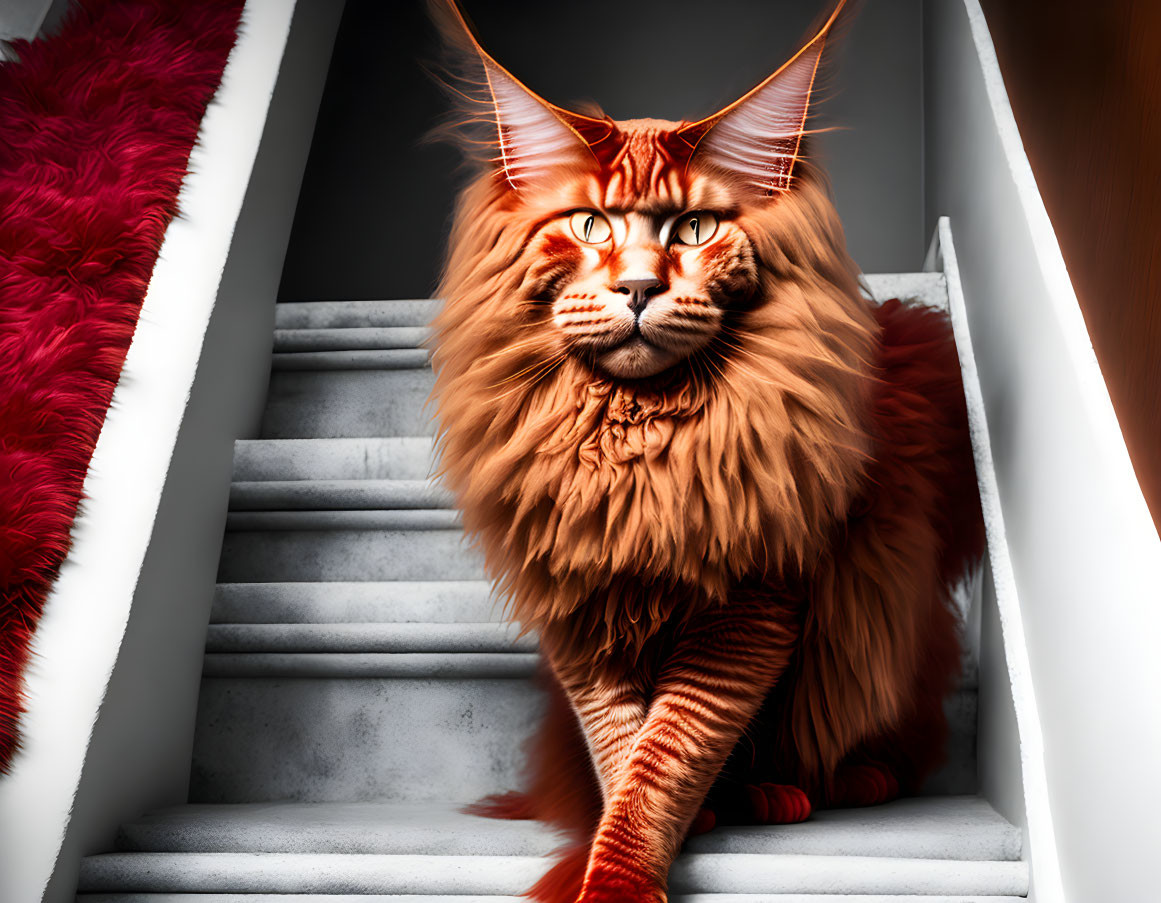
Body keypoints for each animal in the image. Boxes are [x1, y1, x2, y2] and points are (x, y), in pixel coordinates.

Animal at [424, 3, 979, 896]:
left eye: (694, 228)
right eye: (589, 224)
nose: (639, 287)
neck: (640, 441)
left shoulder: (750, 606)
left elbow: (666, 755)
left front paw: (620, 875)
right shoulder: (581, 603)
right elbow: (623, 749)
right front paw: (633, 844)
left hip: (876, 603)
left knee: (876, 743)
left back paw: (813, 787)